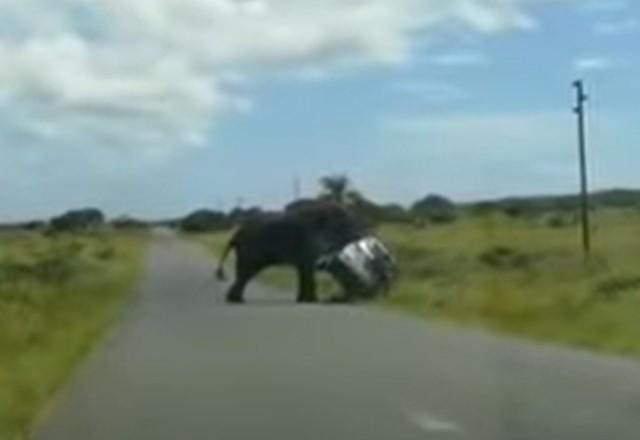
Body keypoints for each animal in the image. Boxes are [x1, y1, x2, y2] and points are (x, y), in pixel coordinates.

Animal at [215, 202, 364, 302]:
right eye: (348, 224)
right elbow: (308, 269)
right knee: (245, 273)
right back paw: (236, 300)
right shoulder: (308, 241)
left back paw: (235, 299)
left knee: (244, 274)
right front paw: (312, 301)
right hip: (250, 251)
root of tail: (235, 236)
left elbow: (303, 270)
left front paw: (302, 300)